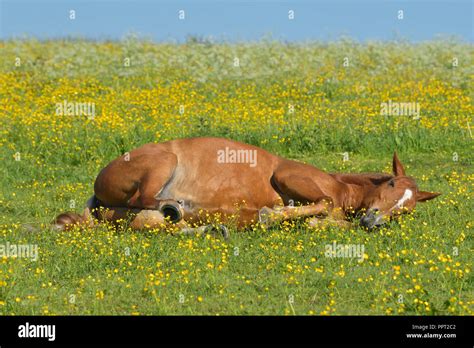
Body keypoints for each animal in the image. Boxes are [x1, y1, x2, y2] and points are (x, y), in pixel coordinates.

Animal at [55, 137, 440, 238]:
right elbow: (321, 202)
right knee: (147, 200)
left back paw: (210, 226)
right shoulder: (289, 177)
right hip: (161, 163)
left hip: (131, 215)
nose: (373, 221)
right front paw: (272, 214)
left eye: (406, 209)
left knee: (153, 221)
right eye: (392, 182)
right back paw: (179, 206)